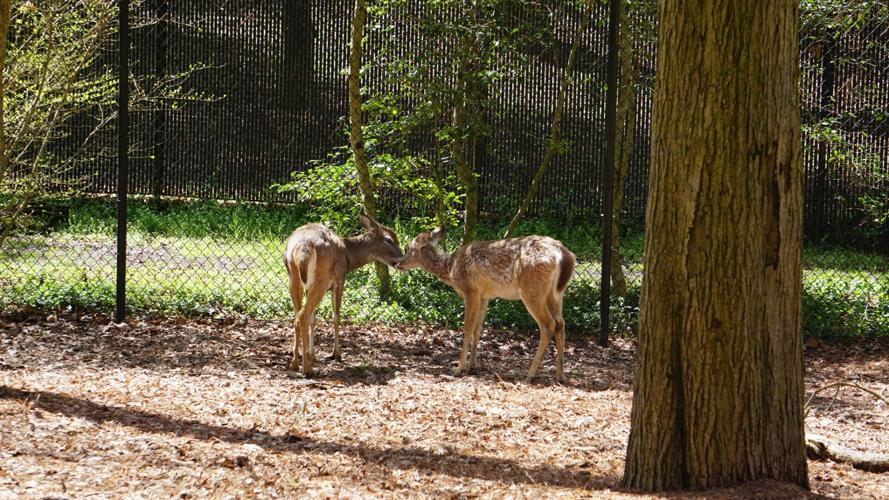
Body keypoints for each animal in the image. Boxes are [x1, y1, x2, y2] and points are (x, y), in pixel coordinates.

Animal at [283, 211, 403, 376]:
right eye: (389, 239)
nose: (402, 257)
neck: (348, 255)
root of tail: (302, 248)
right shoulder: (339, 280)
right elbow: (335, 317)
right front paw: (336, 354)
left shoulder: (310, 287)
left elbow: (314, 319)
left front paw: (312, 355)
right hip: (321, 280)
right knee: (303, 315)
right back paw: (307, 369)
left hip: (293, 278)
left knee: (297, 316)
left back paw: (295, 363)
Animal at [396, 227, 576, 383]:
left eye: (406, 248)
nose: (398, 263)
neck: (451, 268)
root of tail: (564, 255)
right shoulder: (485, 296)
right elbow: (478, 328)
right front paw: (472, 366)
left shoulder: (471, 291)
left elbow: (467, 328)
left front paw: (459, 368)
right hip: (555, 294)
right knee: (561, 323)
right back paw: (560, 375)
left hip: (532, 290)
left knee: (548, 324)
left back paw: (530, 374)